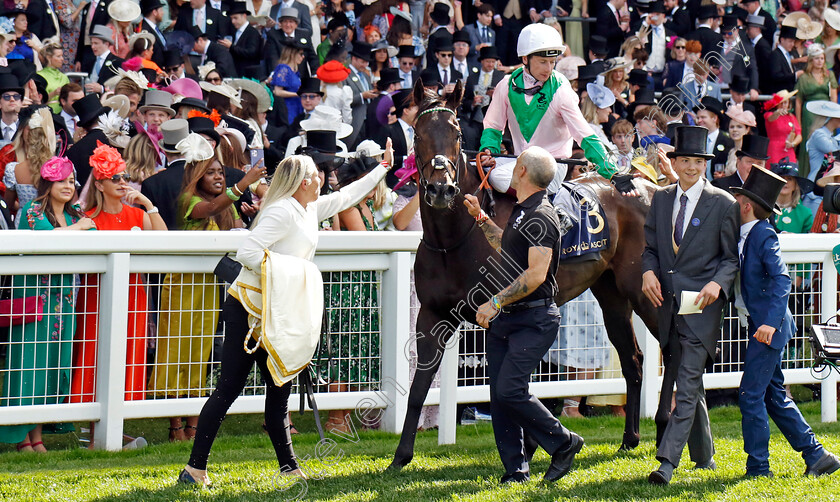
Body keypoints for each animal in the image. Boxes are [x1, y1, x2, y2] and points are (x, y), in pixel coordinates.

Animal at [390, 79, 672, 470]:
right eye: (417, 134)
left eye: (457, 133)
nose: (441, 189)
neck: (453, 238)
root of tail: (652, 186)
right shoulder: (433, 315)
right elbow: (419, 388)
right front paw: (400, 457)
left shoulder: (497, 313)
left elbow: (507, 385)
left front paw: (528, 447)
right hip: (612, 294)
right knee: (634, 360)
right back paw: (630, 438)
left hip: (644, 290)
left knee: (672, 350)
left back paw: (666, 428)